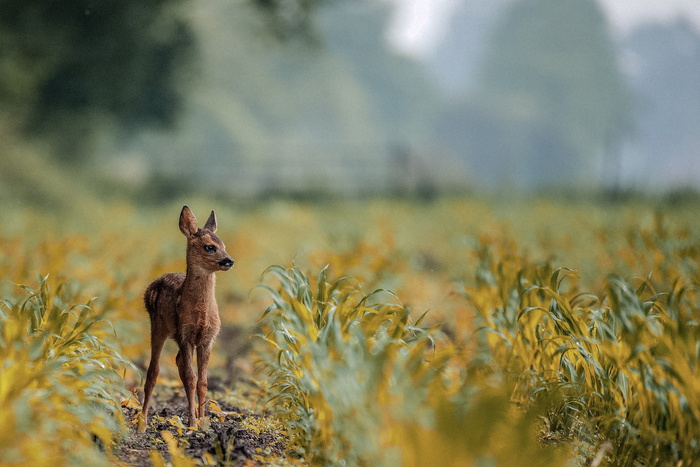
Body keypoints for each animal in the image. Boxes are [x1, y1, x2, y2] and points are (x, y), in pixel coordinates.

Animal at [138, 207, 234, 434]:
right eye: (210, 247)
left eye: (224, 245)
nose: (229, 260)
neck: (201, 315)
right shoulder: (185, 335)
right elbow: (191, 379)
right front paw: (192, 424)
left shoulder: (208, 339)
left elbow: (203, 382)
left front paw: (204, 421)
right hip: (158, 327)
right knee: (153, 372)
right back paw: (141, 425)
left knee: (178, 363)